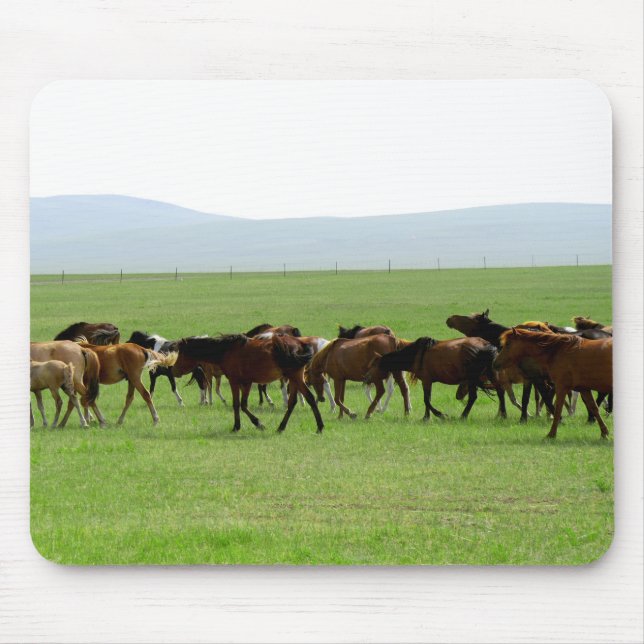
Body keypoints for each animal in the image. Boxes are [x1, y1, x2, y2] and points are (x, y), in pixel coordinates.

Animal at [176, 334, 324, 433]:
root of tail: (300, 344)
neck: (227, 351)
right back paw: (281, 427)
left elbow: (239, 405)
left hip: (295, 377)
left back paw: (320, 427)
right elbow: (241, 405)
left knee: (309, 398)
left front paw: (251, 424)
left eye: (180, 355)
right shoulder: (245, 383)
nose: (175, 371)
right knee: (293, 402)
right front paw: (243, 424)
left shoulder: (236, 382)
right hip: (293, 379)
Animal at [365, 336, 506, 421]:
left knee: (473, 397)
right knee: (500, 391)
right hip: (490, 374)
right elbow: (428, 399)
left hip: (472, 378)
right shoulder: (428, 381)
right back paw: (503, 415)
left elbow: (426, 400)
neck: (417, 355)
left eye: (373, 365)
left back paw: (463, 416)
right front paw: (426, 417)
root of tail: (486, 345)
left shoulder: (426, 380)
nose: (366, 377)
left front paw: (440, 415)